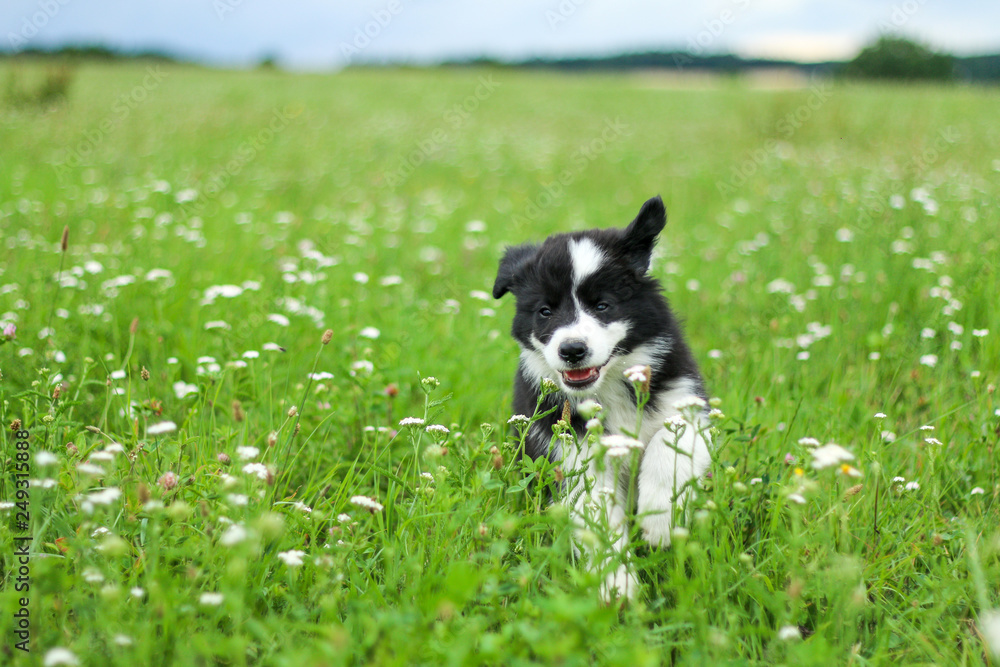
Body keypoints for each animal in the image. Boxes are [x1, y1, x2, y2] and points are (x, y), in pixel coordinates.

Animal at [492, 194, 712, 600]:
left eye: (602, 305)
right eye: (544, 311)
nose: (572, 350)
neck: (607, 388)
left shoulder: (688, 403)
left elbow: (668, 444)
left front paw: (659, 520)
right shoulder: (571, 455)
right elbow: (598, 519)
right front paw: (617, 586)